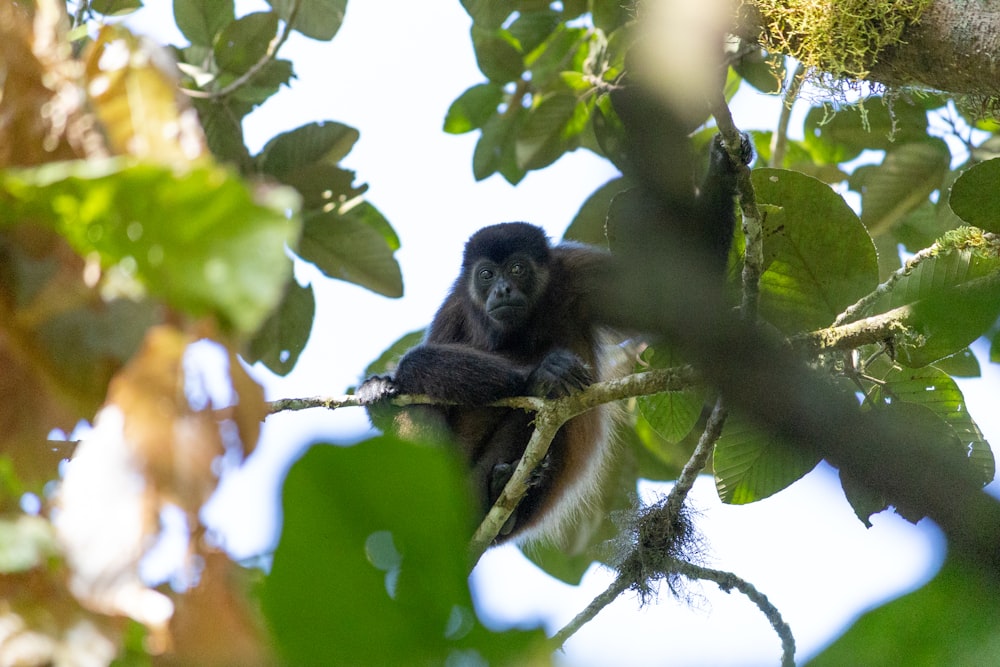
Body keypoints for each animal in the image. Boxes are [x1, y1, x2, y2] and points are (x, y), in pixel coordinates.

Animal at [356, 132, 752, 548]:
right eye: (486, 274)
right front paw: (537, 375)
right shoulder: (456, 308)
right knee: (420, 395)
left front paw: (722, 166)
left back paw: (498, 492)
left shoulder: (579, 274)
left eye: (517, 268)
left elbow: (670, 302)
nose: (502, 289)